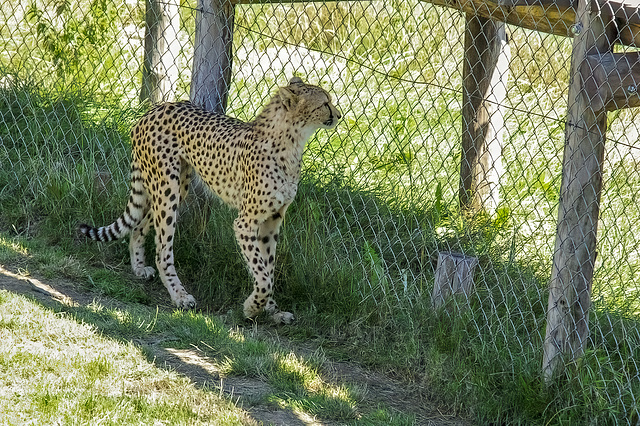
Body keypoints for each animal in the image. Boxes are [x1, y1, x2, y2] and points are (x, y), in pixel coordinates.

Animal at [77, 77, 340, 322]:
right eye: (325, 103)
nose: (338, 115)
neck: (291, 142)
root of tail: (154, 109)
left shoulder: (273, 219)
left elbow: (268, 269)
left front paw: (272, 311)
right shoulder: (245, 223)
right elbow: (262, 274)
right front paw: (252, 308)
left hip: (177, 186)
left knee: (139, 226)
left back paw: (139, 268)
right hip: (167, 189)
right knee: (162, 249)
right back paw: (179, 296)